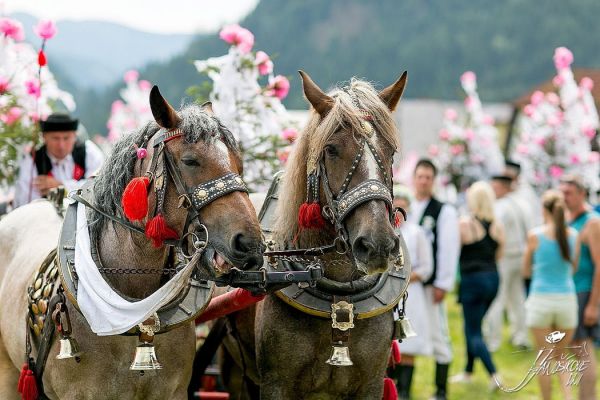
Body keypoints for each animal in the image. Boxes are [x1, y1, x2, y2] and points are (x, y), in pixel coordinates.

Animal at [223, 70, 410, 398]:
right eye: (331, 150)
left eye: (391, 151)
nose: (377, 245)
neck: (339, 295)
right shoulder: (276, 384)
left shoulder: (371, 384)